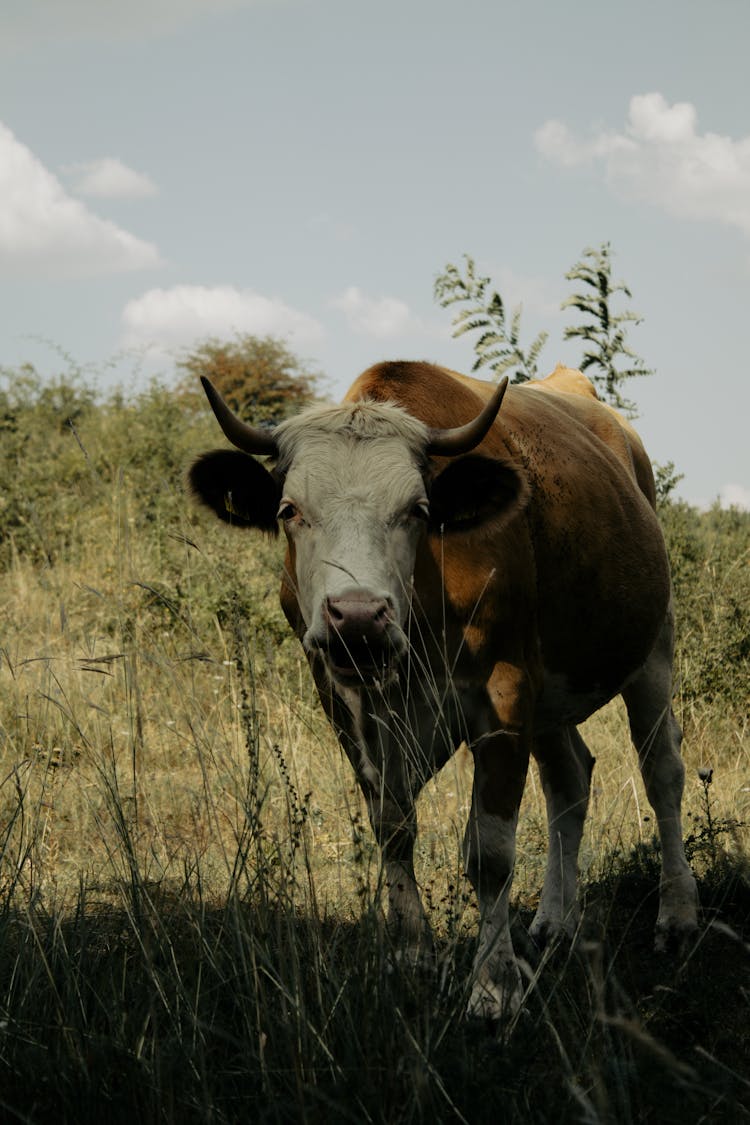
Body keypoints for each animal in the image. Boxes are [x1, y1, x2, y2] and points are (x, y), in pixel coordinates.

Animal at [191, 357, 701, 1021]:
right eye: (289, 510)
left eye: (417, 508)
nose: (358, 617)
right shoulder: (343, 698)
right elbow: (393, 826)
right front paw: (411, 956)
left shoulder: (506, 690)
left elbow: (489, 851)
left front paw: (494, 985)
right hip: (552, 693)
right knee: (570, 778)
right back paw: (554, 923)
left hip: (651, 647)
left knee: (661, 769)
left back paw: (677, 916)